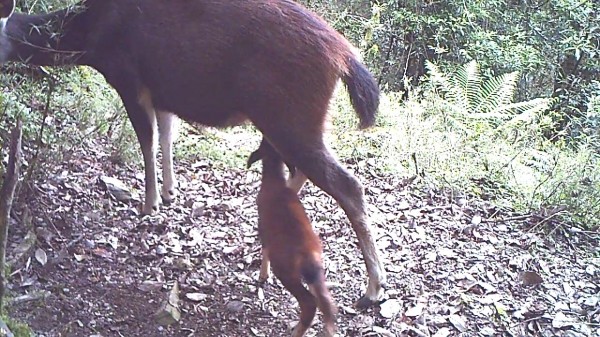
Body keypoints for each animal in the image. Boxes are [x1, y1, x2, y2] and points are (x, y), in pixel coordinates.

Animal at [0, 0, 386, 306]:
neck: (91, 34)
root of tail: (345, 57)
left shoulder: (127, 75)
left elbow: (146, 137)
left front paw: (149, 203)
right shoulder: (162, 90)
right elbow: (167, 133)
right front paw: (171, 192)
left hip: (289, 116)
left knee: (348, 185)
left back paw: (372, 289)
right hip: (293, 122)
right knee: (300, 175)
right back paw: (265, 262)